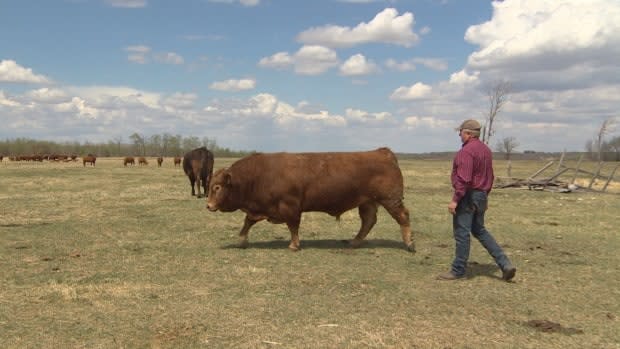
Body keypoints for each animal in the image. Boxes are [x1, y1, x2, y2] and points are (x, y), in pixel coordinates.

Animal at [206, 146, 414, 250]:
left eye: (217, 187)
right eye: (209, 186)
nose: (208, 206)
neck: (258, 175)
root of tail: (383, 152)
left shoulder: (290, 207)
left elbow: (293, 226)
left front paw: (294, 245)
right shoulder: (260, 208)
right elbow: (247, 222)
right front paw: (241, 241)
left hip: (391, 200)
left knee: (403, 217)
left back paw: (410, 244)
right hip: (367, 202)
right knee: (368, 221)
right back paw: (354, 242)